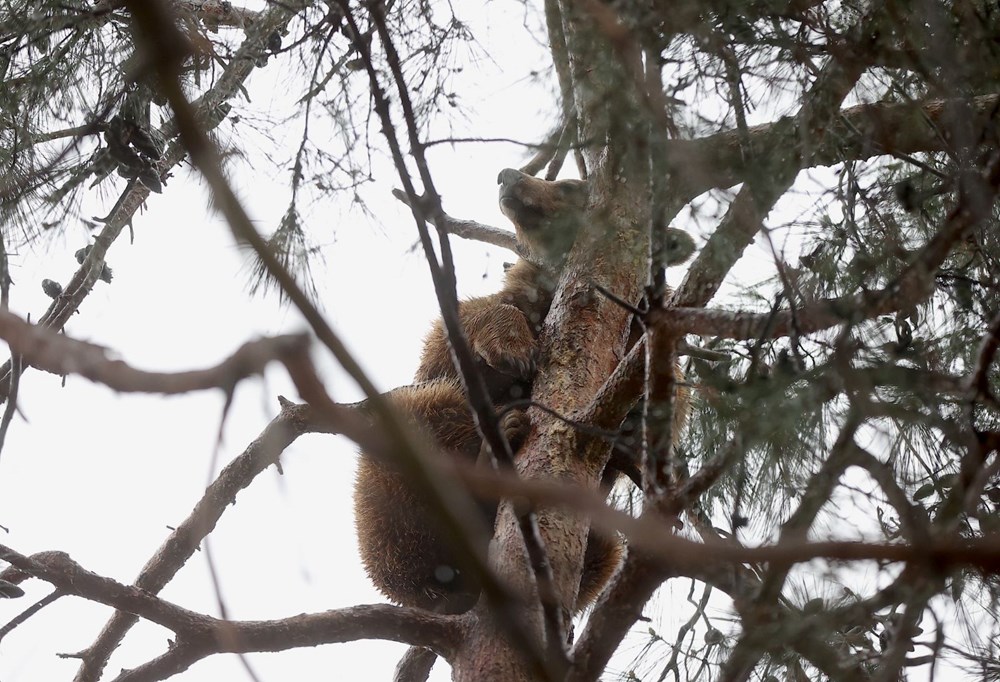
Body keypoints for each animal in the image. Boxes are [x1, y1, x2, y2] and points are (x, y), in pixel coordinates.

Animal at [350, 169, 688, 612]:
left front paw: (637, 420)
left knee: (605, 548)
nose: (508, 175)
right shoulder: (490, 315)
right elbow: (466, 321)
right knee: (420, 415)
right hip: (384, 510)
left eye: (567, 185)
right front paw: (511, 345)